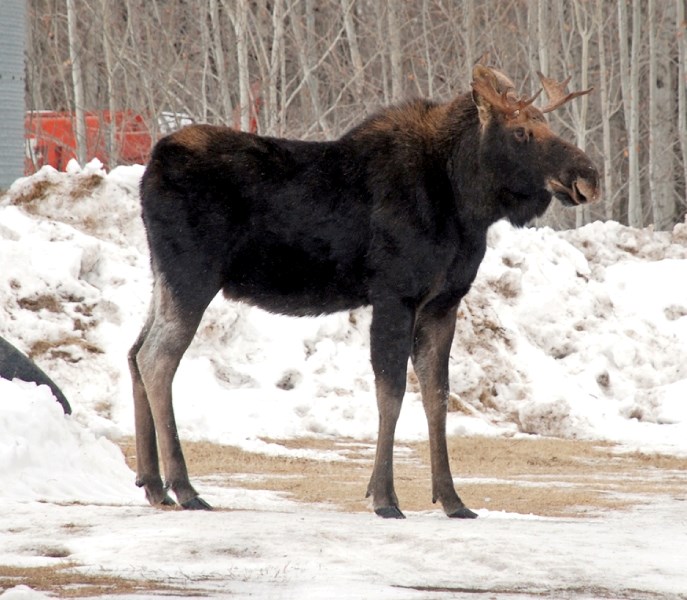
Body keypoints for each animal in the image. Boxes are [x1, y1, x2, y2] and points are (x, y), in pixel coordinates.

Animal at [130, 63, 600, 516]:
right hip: (192, 274)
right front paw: (385, 497)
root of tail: (152, 165)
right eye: (521, 132)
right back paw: (184, 488)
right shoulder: (395, 294)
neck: (466, 204)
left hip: (161, 278)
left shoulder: (443, 302)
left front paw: (451, 499)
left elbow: (437, 396)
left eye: (546, 124)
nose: (588, 175)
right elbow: (391, 393)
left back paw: (153, 485)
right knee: (157, 359)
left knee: (135, 352)